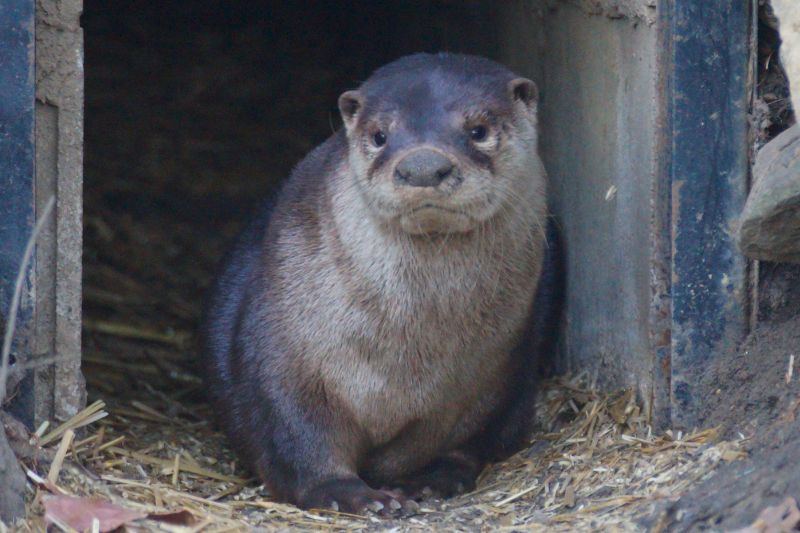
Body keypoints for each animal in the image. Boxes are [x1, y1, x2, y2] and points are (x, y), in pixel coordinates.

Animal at [202, 53, 563, 515]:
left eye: (478, 131)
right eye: (379, 136)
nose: (423, 167)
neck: (408, 363)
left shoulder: (502, 375)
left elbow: (478, 438)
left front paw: (432, 479)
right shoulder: (282, 357)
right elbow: (296, 437)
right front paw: (349, 493)